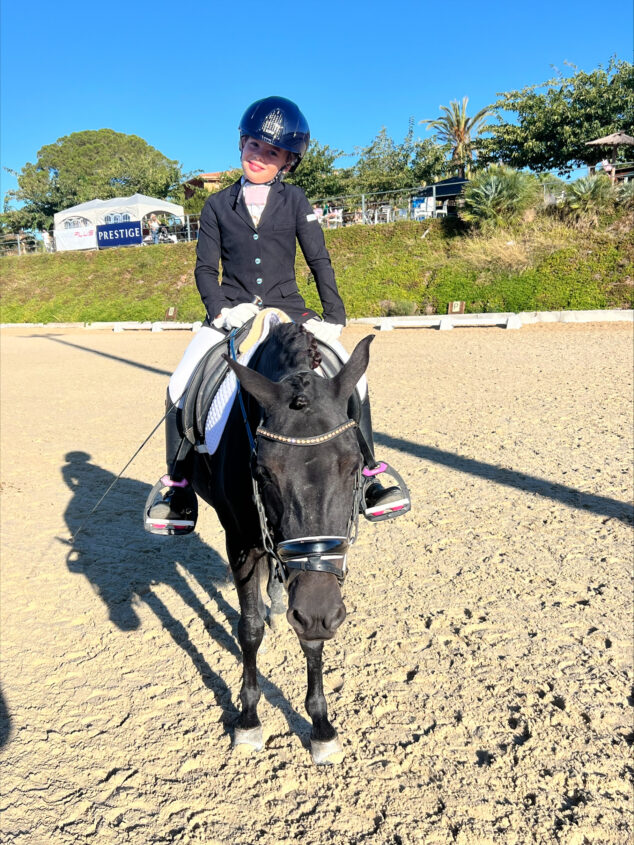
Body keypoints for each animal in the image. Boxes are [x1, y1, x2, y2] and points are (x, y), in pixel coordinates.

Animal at [190, 320, 372, 760]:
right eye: (262, 471)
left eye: (355, 463)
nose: (319, 612)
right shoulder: (240, 543)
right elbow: (249, 629)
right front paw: (248, 719)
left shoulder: (318, 576)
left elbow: (311, 638)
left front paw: (321, 726)